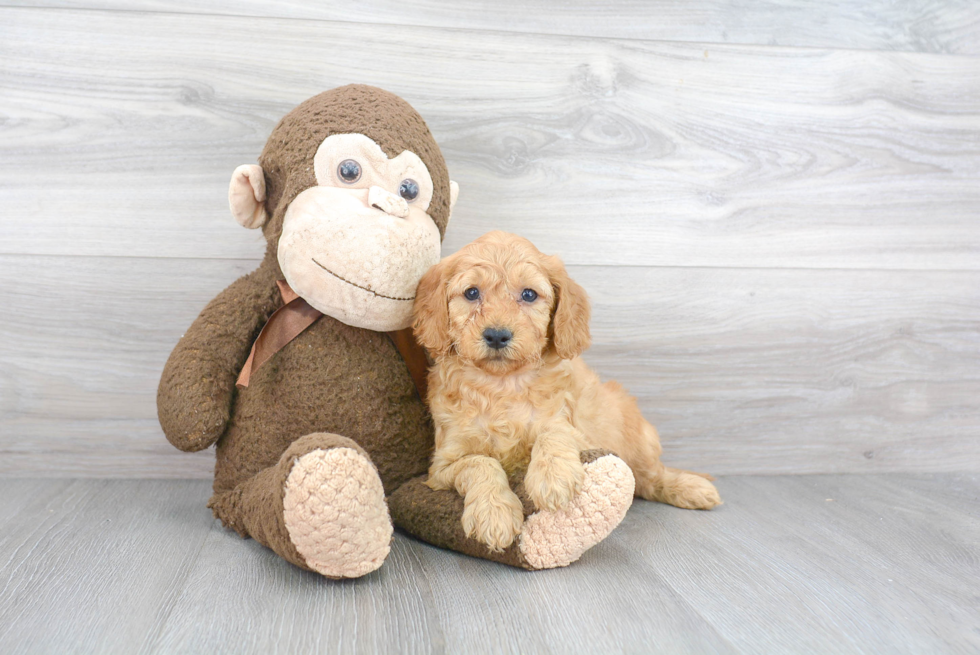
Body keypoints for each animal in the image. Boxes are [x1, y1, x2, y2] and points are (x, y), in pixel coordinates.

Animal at [412, 233, 720, 552]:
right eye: (471, 293)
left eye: (529, 295)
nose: (497, 335)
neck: (503, 384)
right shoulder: (442, 466)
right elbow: (479, 462)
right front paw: (494, 513)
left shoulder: (575, 429)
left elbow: (553, 433)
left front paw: (552, 477)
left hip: (638, 439)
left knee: (651, 476)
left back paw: (692, 488)